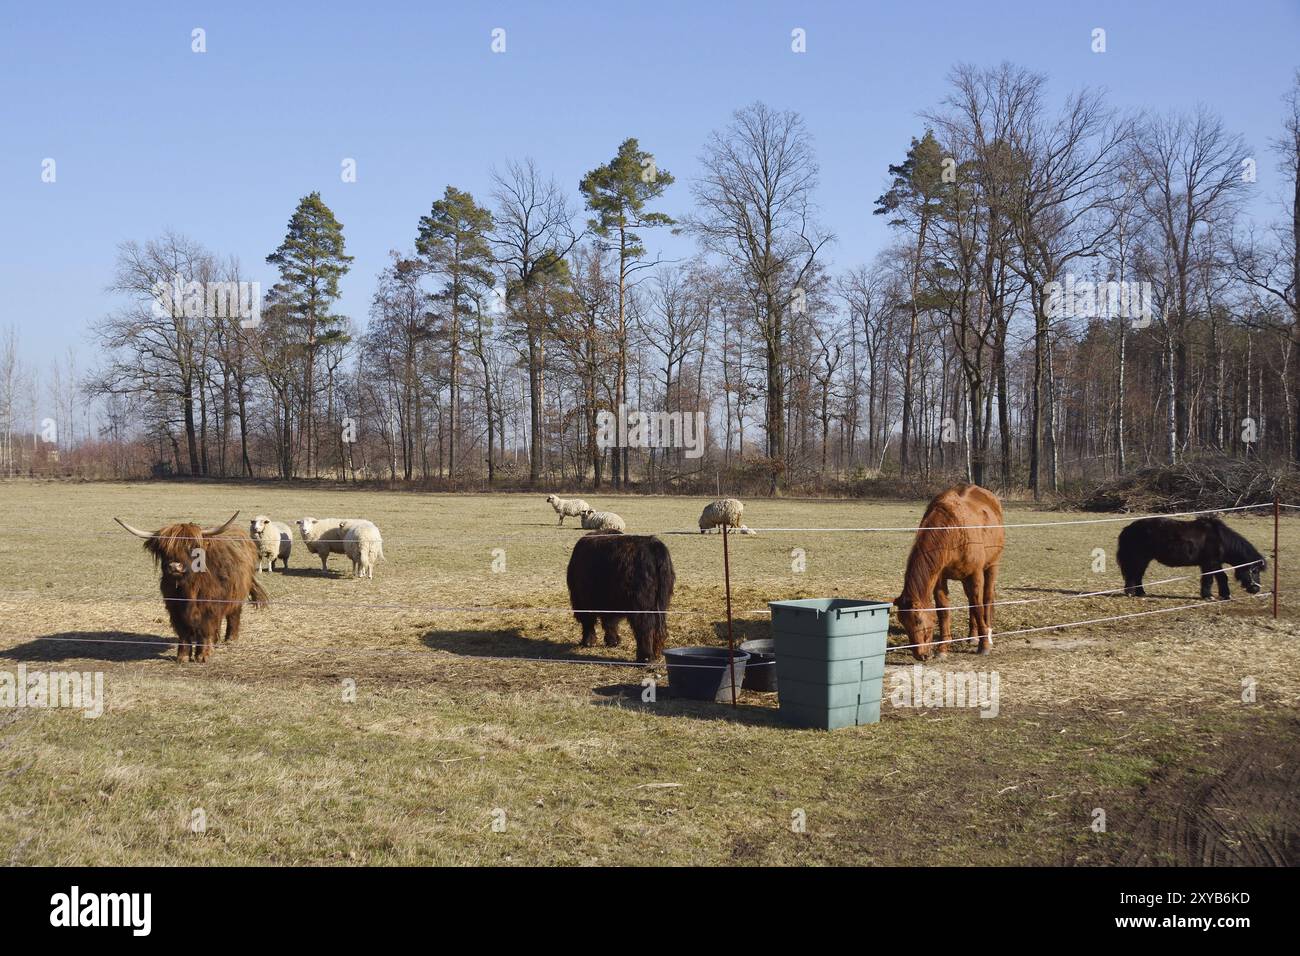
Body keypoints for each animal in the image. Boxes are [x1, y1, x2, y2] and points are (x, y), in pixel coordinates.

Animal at [116, 512, 269, 660]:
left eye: (191, 546)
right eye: (164, 549)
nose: (174, 566)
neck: (188, 588)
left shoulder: (209, 607)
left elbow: (206, 629)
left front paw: (202, 655)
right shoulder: (175, 608)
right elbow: (184, 632)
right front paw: (183, 656)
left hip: (236, 593)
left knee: (234, 614)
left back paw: (230, 639)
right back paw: (216, 640)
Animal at [564, 530, 676, 665]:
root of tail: (654, 545)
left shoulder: (583, 600)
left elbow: (589, 621)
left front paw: (589, 641)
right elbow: (610, 622)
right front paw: (613, 641)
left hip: (642, 606)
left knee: (645, 628)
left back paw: (645, 658)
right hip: (661, 603)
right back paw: (655, 654)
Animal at [894, 481, 1003, 660]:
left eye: (918, 620)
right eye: (902, 621)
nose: (920, 655)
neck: (954, 530)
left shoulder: (976, 574)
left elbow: (978, 606)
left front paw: (984, 646)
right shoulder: (940, 578)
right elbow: (943, 610)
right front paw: (942, 649)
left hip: (992, 566)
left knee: (986, 599)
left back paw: (987, 635)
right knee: (970, 600)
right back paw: (972, 636)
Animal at [1112, 515, 1263, 598]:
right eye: (1254, 570)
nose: (1256, 589)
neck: (1220, 539)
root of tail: (1128, 528)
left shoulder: (1215, 563)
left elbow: (1222, 577)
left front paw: (1225, 595)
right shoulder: (1209, 563)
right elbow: (1208, 579)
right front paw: (1208, 596)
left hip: (1144, 559)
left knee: (1138, 575)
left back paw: (1141, 592)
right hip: (1139, 559)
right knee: (1133, 574)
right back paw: (1131, 593)